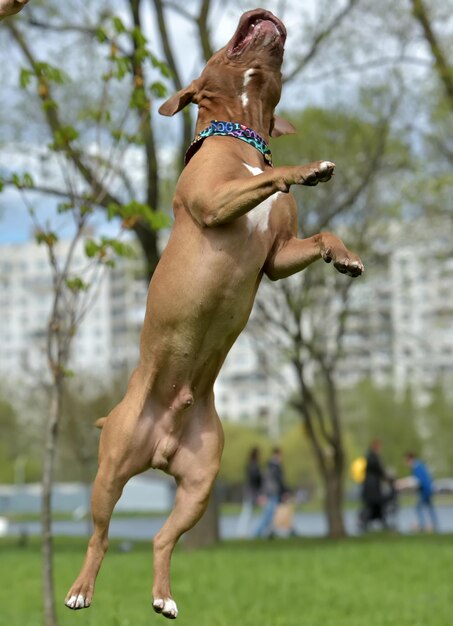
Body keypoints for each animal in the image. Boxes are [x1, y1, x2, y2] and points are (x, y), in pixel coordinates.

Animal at [64, 7, 364, 616]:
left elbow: (320, 235)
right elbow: (271, 176)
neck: (243, 136)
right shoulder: (212, 203)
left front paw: (344, 256)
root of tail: (160, 442)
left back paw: (163, 597)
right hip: (109, 475)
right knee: (100, 535)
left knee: (161, 539)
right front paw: (306, 168)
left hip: (200, 485)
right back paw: (81, 590)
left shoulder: (278, 258)